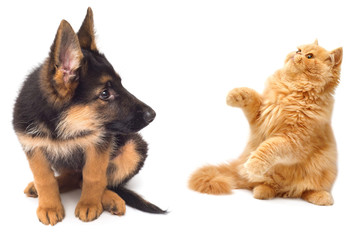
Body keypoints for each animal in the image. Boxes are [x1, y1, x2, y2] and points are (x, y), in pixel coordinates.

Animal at [12, 7, 166, 225]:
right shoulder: (33, 147)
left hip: (134, 148)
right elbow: (44, 179)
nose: (152, 115)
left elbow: (94, 176)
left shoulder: (100, 142)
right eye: (105, 93)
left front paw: (90, 204)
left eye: (121, 83)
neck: (64, 125)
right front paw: (49, 206)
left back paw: (110, 198)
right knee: (73, 177)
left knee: (94, 180)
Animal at [188, 40, 344, 205]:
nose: (297, 53)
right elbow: (251, 96)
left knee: (306, 190)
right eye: (299, 49)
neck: (291, 91)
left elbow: (270, 146)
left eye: (309, 56)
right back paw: (262, 191)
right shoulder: (260, 116)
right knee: (265, 185)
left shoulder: (294, 141)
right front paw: (235, 95)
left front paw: (253, 164)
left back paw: (322, 197)